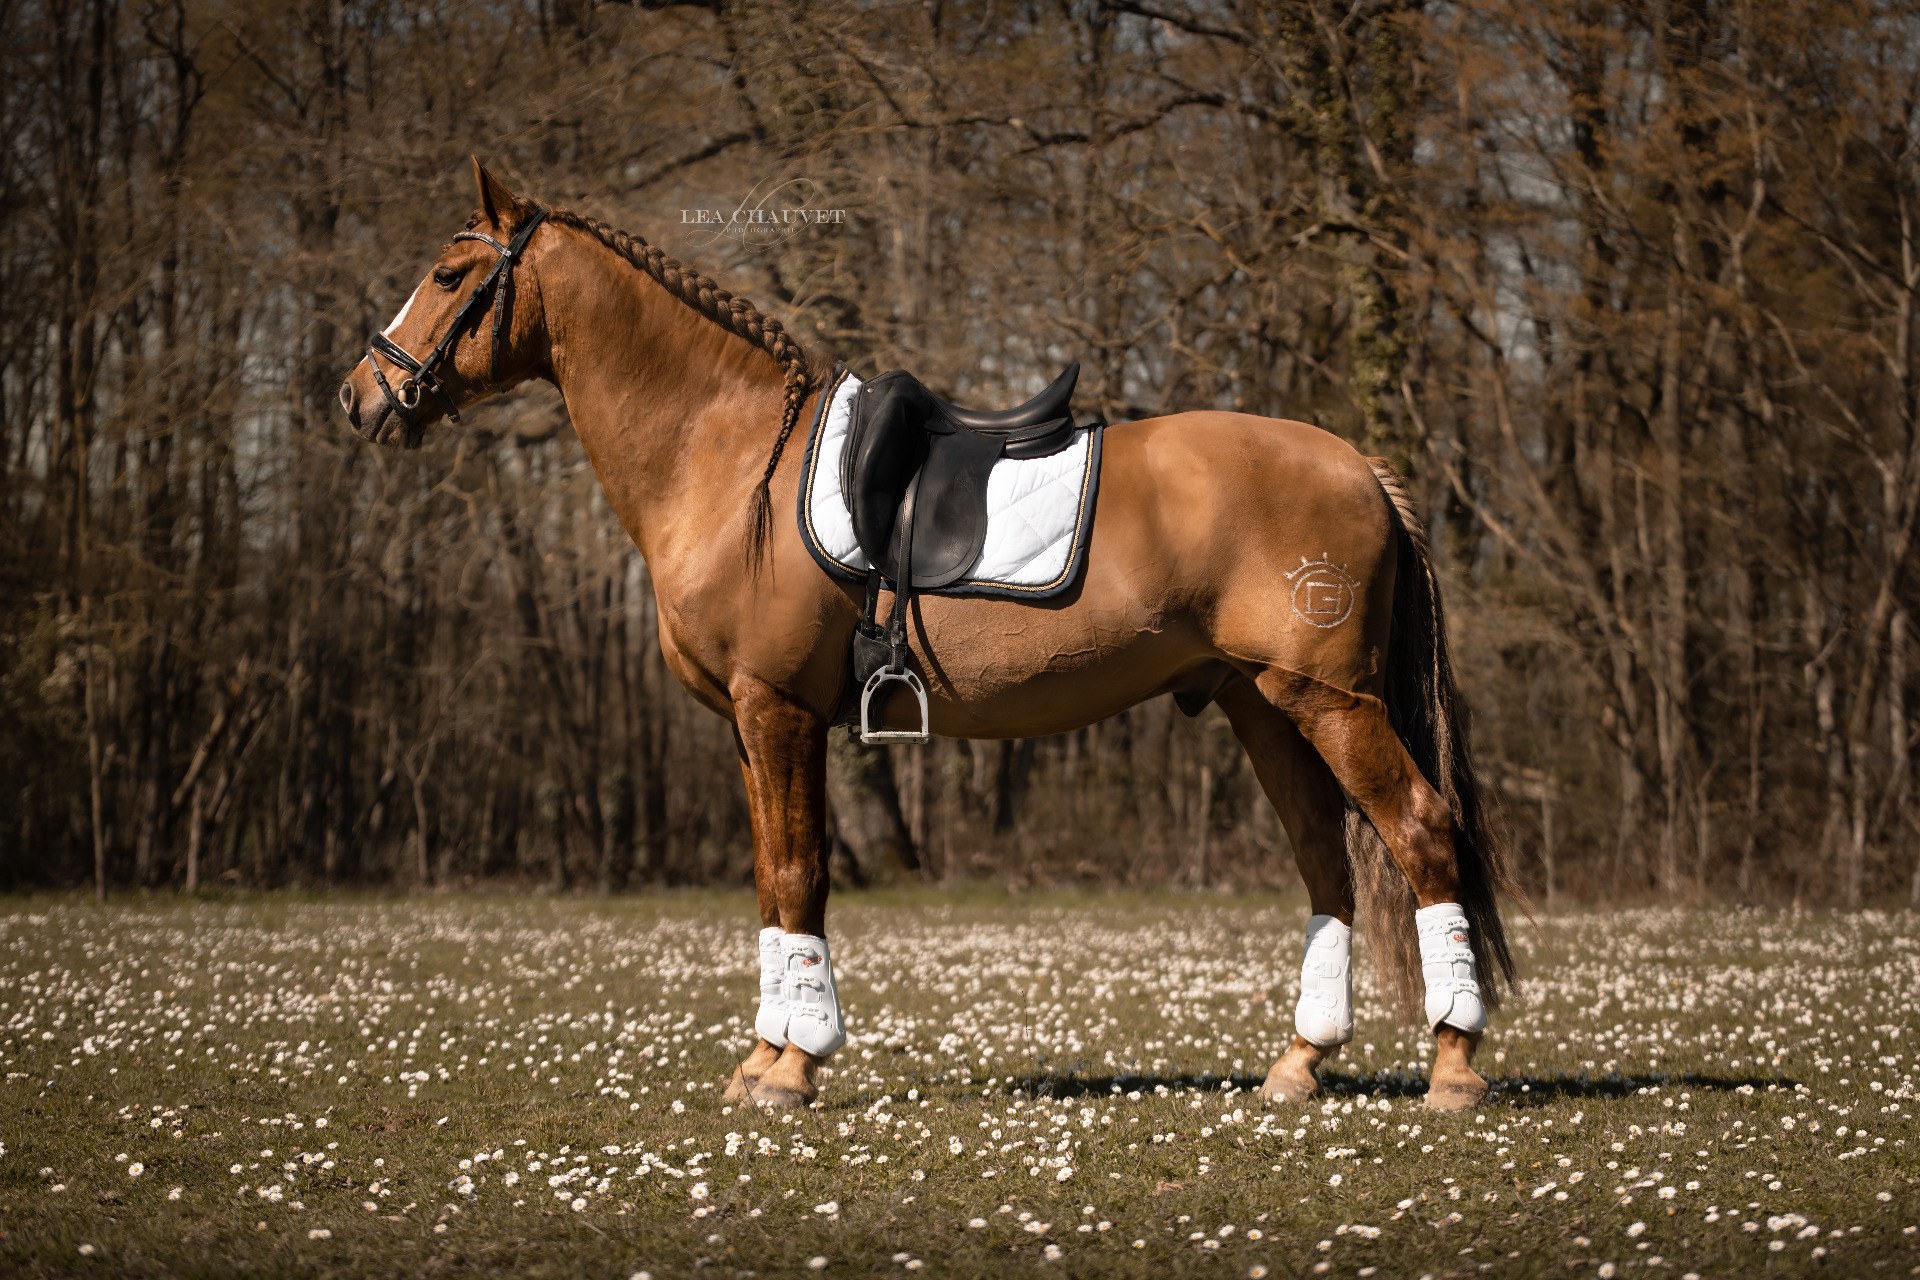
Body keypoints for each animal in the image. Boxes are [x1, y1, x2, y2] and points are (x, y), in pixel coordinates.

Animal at [338, 160, 1520, 1112]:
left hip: (1331, 702)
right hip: (1261, 703)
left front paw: (794, 1066)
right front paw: (764, 1059)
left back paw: (1453, 1067)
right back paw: (1299, 1063)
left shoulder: (778, 711)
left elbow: (800, 872)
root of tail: (1360, 464)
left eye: (448, 273)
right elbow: (770, 879)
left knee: (1422, 832)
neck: (729, 458)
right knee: (1327, 863)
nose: (358, 396)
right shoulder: (746, 725)